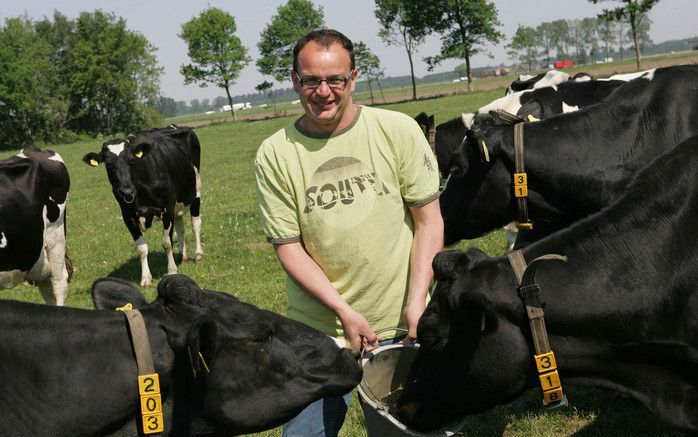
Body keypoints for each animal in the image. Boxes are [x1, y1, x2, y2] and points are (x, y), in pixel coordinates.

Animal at [84, 125, 203, 286]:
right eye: (109, 165)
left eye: (132, 161)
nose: (126, 191)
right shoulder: (127, 215)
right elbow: (141, 248)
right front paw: (146, 278)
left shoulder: (167, 207)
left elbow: (167, 242)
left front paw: (172, 271)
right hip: (178, 204)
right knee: (181, 227)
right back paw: (182, 256)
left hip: (196, 192)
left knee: (195, 223)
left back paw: (198, 254)